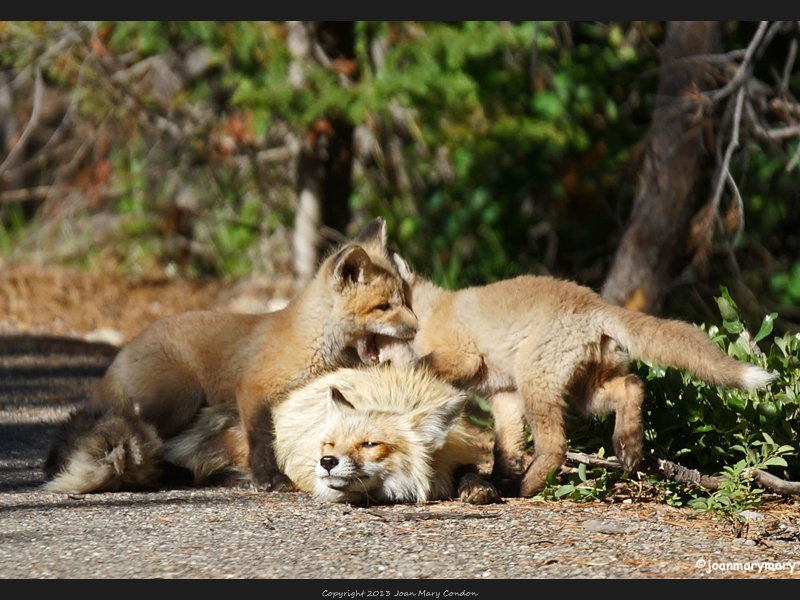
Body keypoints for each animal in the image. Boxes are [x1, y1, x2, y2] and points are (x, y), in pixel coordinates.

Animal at [43, 218, 418, 494]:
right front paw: (269, 478)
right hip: (180, 399)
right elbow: (262, 440)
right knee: (129, 432)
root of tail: (126, 348)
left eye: (405, 301)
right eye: (384, 307)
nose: (416, 328)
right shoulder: (253, 389)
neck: (311, 344)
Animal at [164, 364, 500, 504]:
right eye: (329, 444)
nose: (326, 462)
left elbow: (469, 472)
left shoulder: (455, 454)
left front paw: (478, 487)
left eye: (370, 444)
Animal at [380, 258, 776, 496]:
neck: (431, 310)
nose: (372, 356)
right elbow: (505, 449)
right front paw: (495, 482)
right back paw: (628, 446)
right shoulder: (504, 396)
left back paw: (527, 488)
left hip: (538, 387)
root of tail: (596, 305)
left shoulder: (465, 358)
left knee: (556, 446)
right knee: (632, 385)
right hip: (585, 395)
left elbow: (426, 364)